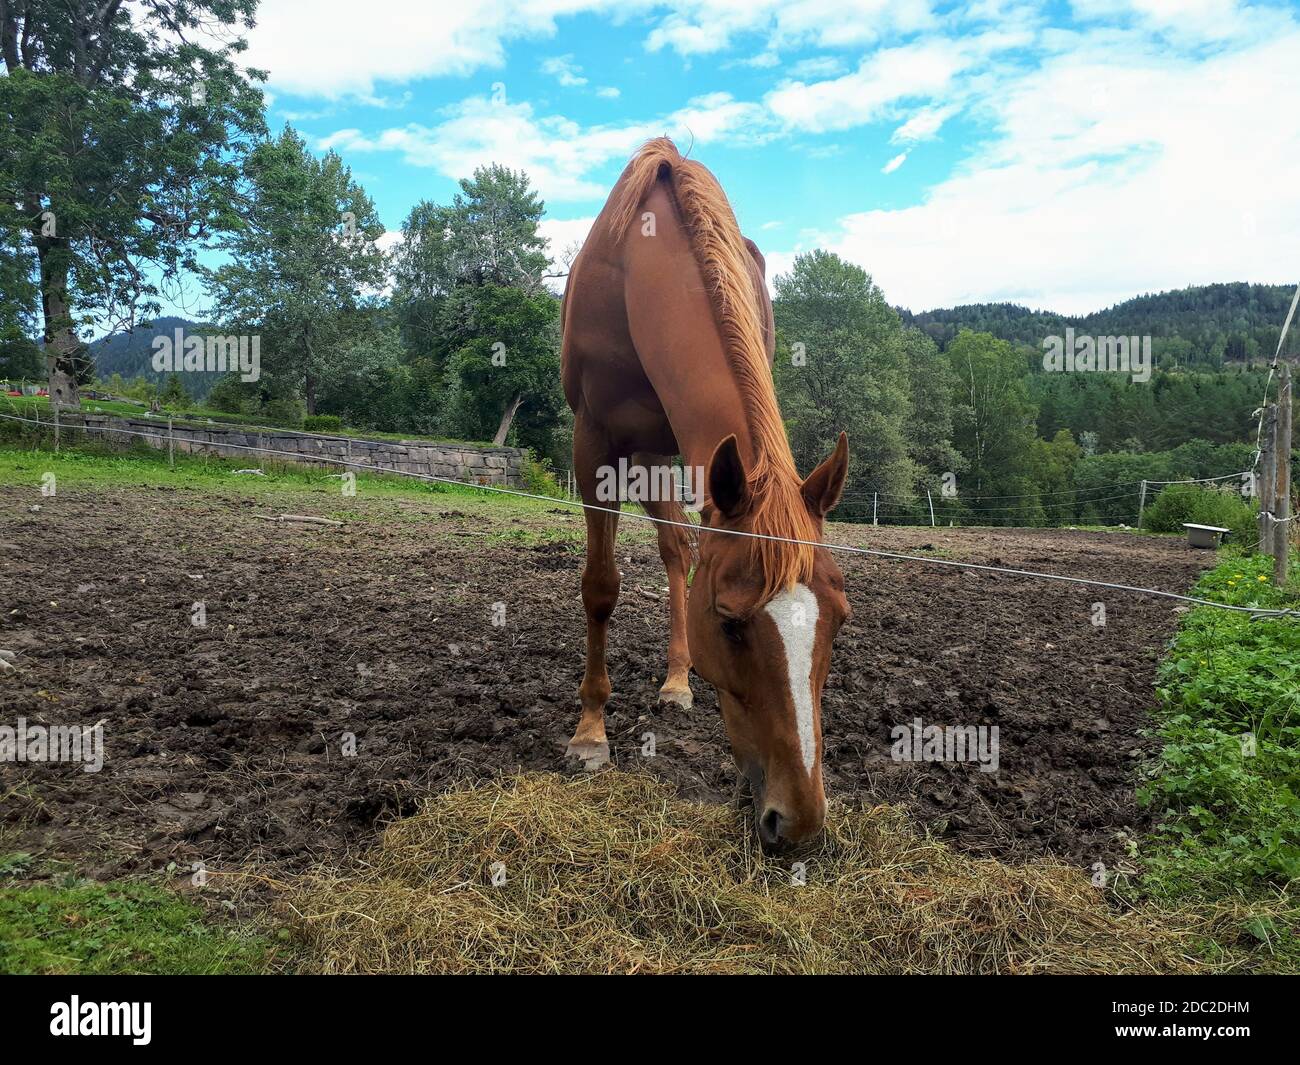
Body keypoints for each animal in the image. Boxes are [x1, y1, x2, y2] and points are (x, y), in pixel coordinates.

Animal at [561, 139, 852, 847]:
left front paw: (677, 681)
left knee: (677, 549)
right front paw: (590, 734)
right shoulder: (594, 439)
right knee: (670, 550)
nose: (799, 819)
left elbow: (684, 552)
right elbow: (600, 585)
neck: (643, 263)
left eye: (840, 619)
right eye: (729, 623)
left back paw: (676, 681)